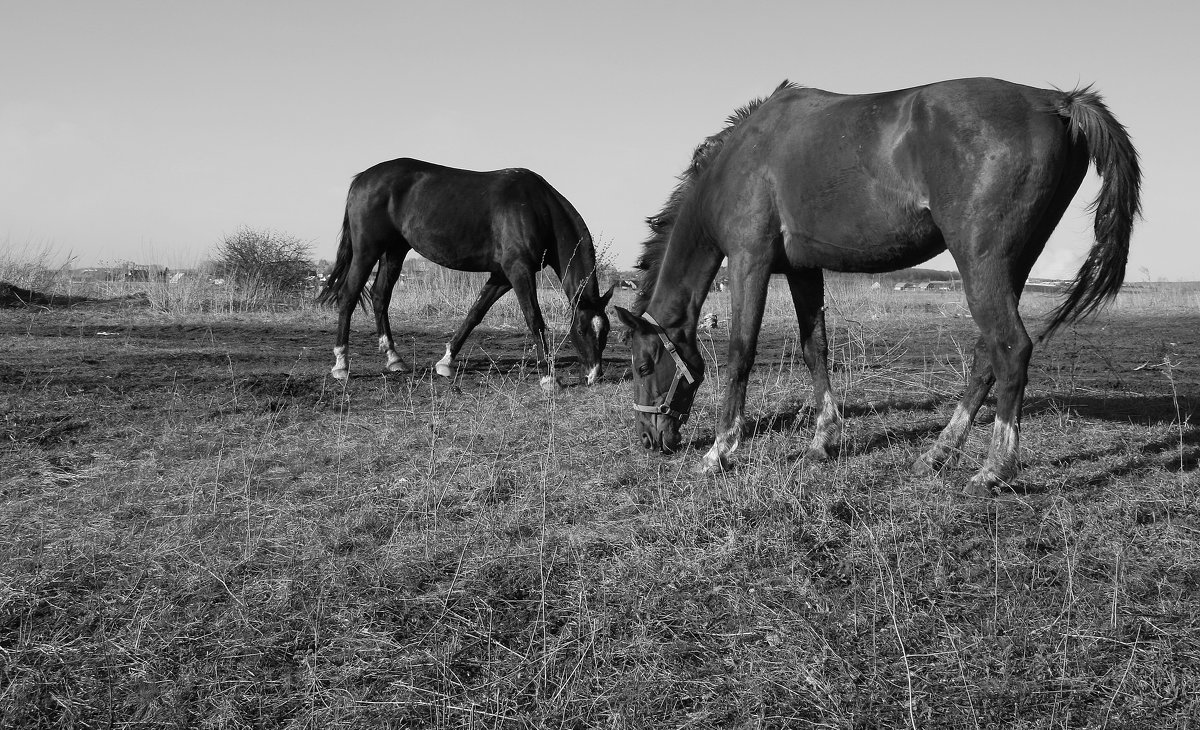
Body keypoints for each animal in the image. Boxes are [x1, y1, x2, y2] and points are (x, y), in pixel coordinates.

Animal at [319, 158, 614, 384]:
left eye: (606, 332)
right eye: (582, 330)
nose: (595, 376)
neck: (536, 208)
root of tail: (362, 178)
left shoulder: (502, 276)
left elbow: (475, 313)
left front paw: (446, 361)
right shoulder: (519, 271)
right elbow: (534, 319)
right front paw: (548, 378)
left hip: (394, 251)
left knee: (380, 296)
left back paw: (394, 359)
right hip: (366, 251)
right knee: (348, 296)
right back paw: (341, 365)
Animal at [619, 76, 1142, 492]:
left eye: (644, 366)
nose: (649, 439)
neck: (738, 163)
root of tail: (1057, 101)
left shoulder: (750, 261)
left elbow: (739, 353)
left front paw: (720, 452)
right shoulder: (804, 270)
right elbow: (814, 349)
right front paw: (823, 441)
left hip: (982, 262)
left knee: (1011, 351)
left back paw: (993, 470)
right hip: (1012, 264)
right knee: (985, 356)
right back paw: (937, 454)